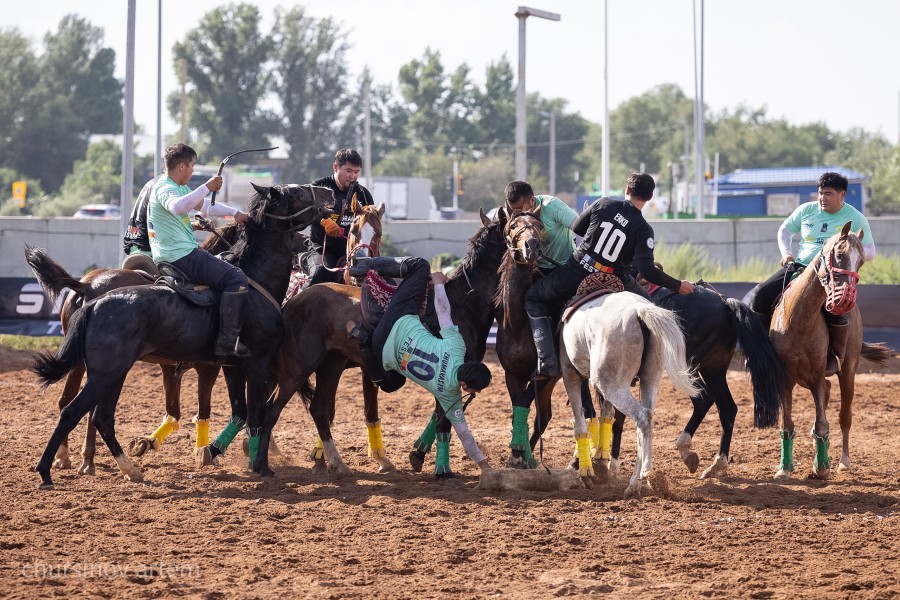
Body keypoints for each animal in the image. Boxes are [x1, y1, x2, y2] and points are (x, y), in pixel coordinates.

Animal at [31, 183, 336, 488]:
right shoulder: (254, 365)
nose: (328, 192)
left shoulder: (231, 367)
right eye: (295, 193)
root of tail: (93, 300)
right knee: (72, 411)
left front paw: (220, 453)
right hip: (104, 374)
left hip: (111, 374)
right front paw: (258, 465)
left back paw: (126, 468)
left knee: (100, 417)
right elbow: (255, 415)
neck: (255, 282)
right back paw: (50, 468)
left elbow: (241, 412)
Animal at [251, 207, 506, 478]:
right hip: (297, 367)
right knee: (271, 410)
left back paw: (336, 463)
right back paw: (262, 464)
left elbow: (440, 416)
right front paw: (440, 468)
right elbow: (443, 420)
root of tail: (293, 301)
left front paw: (418, 456)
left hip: (329, 364)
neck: (463, 304)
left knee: (318, 410)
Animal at [560, 292, 700, 496]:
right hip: (649, 380)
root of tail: (639, 310)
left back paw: (647, 473)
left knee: (642, 417)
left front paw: (585, 471)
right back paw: (635, 482)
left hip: (613, 386)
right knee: (645, 422)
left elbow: (581, 425)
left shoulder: (571, 375)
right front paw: (599, 464)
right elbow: (606, 416)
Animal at [768, 220, 892, 478]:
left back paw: (844, 460)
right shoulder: (785, 376)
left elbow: (823, 424)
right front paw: (784, 468)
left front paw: (822, 466)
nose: (845, 299)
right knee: (826, 393)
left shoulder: (816, 373)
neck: (798, 319)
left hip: (848, 370)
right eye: (839, 254)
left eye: (861, 261)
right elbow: (787, 423)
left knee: (844, 415)